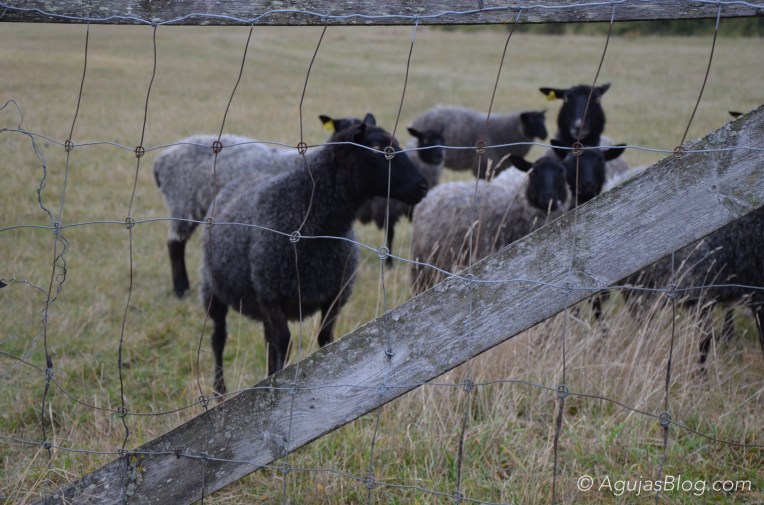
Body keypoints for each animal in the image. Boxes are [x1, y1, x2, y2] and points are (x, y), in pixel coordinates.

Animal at [200, 119, 428, 394]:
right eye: (376, 148)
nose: (423, 186)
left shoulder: (334, 295)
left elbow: (325, 341)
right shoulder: (273, 295)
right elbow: (284, 344)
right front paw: (275, 389)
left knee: (266, 341)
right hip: (213, 287)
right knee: (219, 338)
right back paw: (219, 390)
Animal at [356, 126, 445, 266]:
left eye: (442, 140)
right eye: (425, 140)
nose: (439, 157)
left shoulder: (413, 208)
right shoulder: (387, 208)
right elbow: (390, 235)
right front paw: (389, 263)